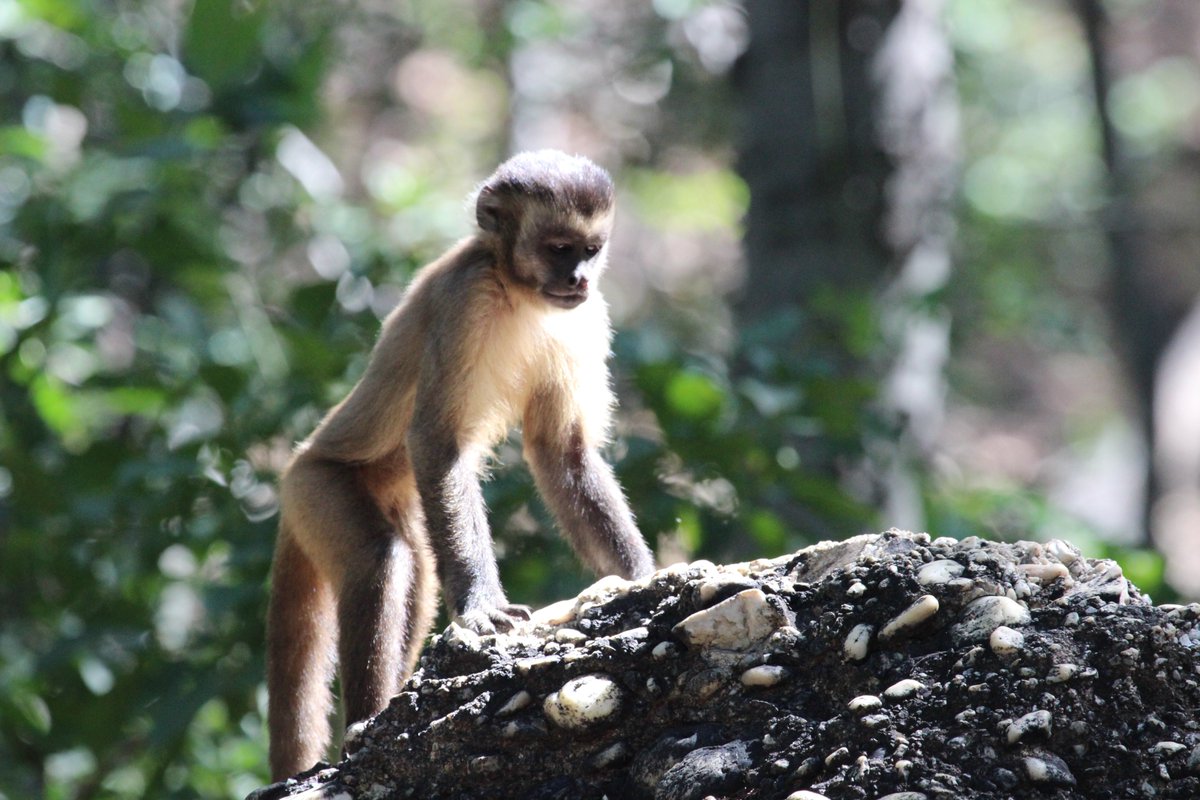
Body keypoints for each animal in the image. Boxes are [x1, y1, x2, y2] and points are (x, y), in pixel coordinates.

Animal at [267, 149, 657, 782]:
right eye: (558, 249)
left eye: (590, 250)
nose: (578, 278)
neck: (516, 288)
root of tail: (295, 466)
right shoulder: (467, 296)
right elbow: (436, 442)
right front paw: (481, 607)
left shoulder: (587, 314)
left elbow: (563, 453)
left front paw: (640, 576)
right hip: (313, 486)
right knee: (381, 558)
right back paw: (365, 729)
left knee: (417, 580)